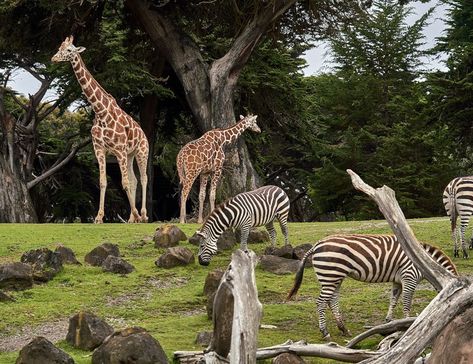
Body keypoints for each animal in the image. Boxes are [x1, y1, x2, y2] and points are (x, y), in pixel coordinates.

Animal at [51, 37, 148, 225]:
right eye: (59, 47)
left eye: (69, 50)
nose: (53, 58)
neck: (100, 111)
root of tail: (143, 133)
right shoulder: (100, 149)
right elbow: (103, 181)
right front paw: (98, 217)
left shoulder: (119, 150)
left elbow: (124, 183)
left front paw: (137, 215)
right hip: (130, 154)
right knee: (134, 179)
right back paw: (132, 218)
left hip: (141, 151)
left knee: (143, 178)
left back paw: (143, 215)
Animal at [286, 235, 456, 340]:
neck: (425, 263)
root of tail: (316, 244)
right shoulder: (409, 277)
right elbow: (406, 303)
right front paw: (409, 323)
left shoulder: (398, 281)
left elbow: (393, 299)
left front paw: (389, 320)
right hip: (330, 274)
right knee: (321, 302)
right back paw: (325, 332)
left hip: (333, 277)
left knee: (332, 301)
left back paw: (343, 329)